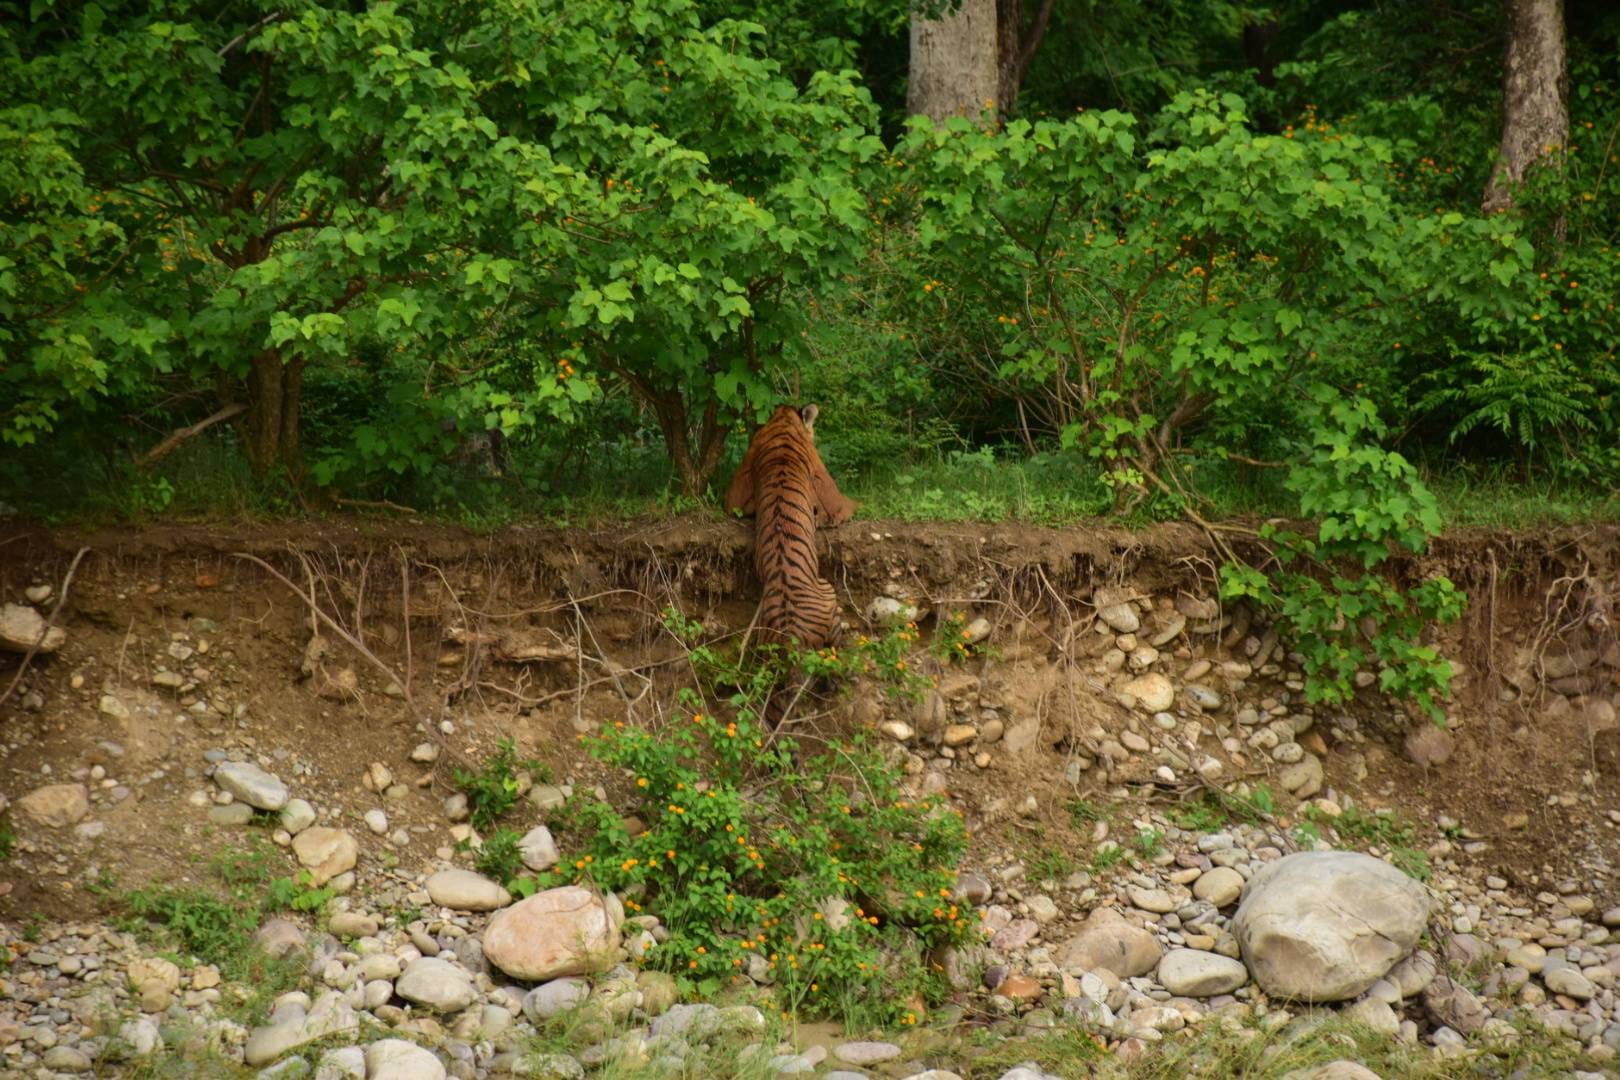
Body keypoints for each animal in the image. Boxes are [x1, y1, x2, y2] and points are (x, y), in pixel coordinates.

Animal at [724, 404, 856, 723]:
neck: (782, 423)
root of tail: (789, 633)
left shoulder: (736, 493)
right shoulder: (834, 499)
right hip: (828, 591)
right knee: (834, 654)